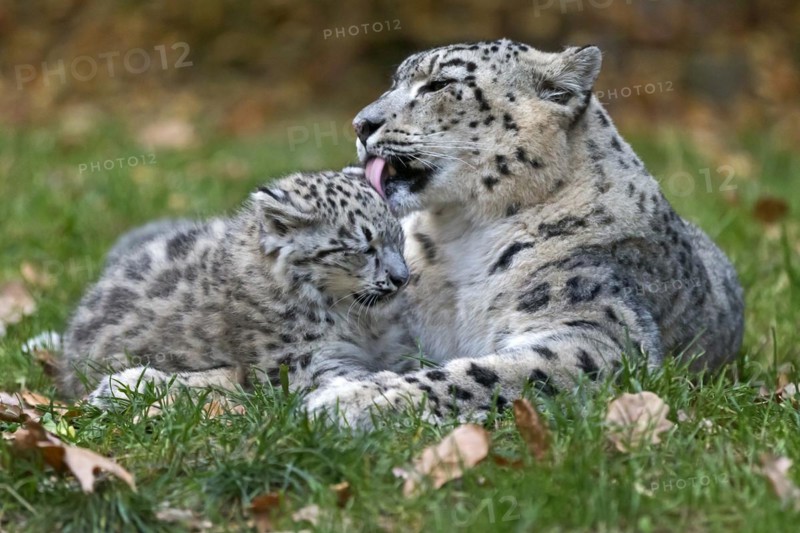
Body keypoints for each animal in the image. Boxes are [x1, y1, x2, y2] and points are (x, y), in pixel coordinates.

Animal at [60, 167, 418, 404]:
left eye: (397, 234)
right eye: (364, 247)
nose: (402, 277)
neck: (361, 324)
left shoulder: (393, 348)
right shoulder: (305, 363)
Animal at [305, 40, 745, 427]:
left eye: (439, 84)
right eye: (395, 81)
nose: (361, 124)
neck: (459, 237)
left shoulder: (598, 332)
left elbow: (487, 374)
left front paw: (357, 399)